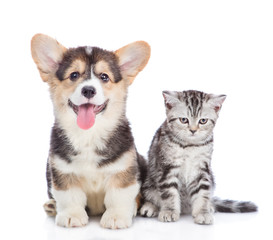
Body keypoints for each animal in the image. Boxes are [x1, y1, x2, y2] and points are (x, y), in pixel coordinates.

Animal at [30, 33, 150, 229]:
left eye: (104, 77)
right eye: (74, 75)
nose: (88, 90)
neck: (88, 134)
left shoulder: (123, 170)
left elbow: (118, 196)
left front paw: (116, 216)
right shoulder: (63, 171)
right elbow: (69, 196)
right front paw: (71, 215)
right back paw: (52, 206)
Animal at [139, 90, 256, 225]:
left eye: (203, 121)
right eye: (184, 120)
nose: (193, 130)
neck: (190, 145)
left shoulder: (202, 168)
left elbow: (202, 192)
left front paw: (202, 212)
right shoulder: (167, 167)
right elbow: (169, 192)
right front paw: (169, 211)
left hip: (211, 178)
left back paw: (210, 206)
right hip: (148, 182)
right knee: (152, 195)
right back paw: (150, 207)